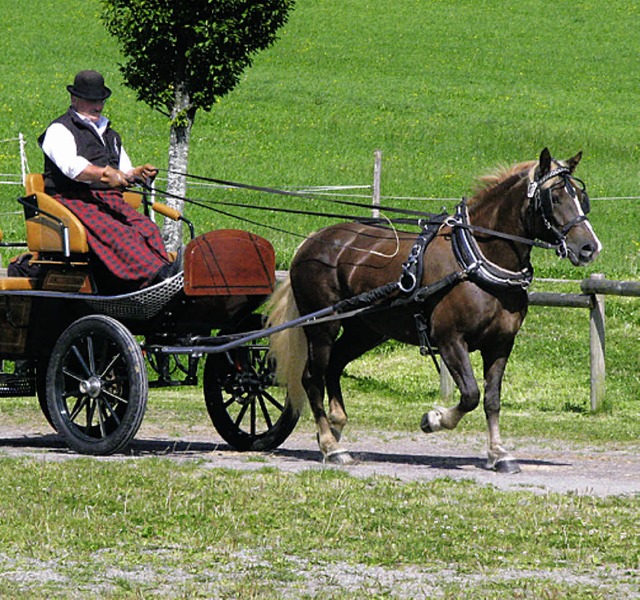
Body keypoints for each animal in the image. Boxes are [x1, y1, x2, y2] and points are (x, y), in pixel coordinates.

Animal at [268, 150, 604, 474]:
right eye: (555, 197)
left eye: (580, 196)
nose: (589, 247)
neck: (474, 259)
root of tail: (311, 242)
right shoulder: (450, 340)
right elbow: (470, 394)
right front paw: (434, 419)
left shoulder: (500, 344)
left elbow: (492, 400)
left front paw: (499, 454)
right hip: (322, 325)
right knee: (313, 377)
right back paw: (330, 445)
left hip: (366, 329)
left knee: (335, 365)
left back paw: (336, 428)